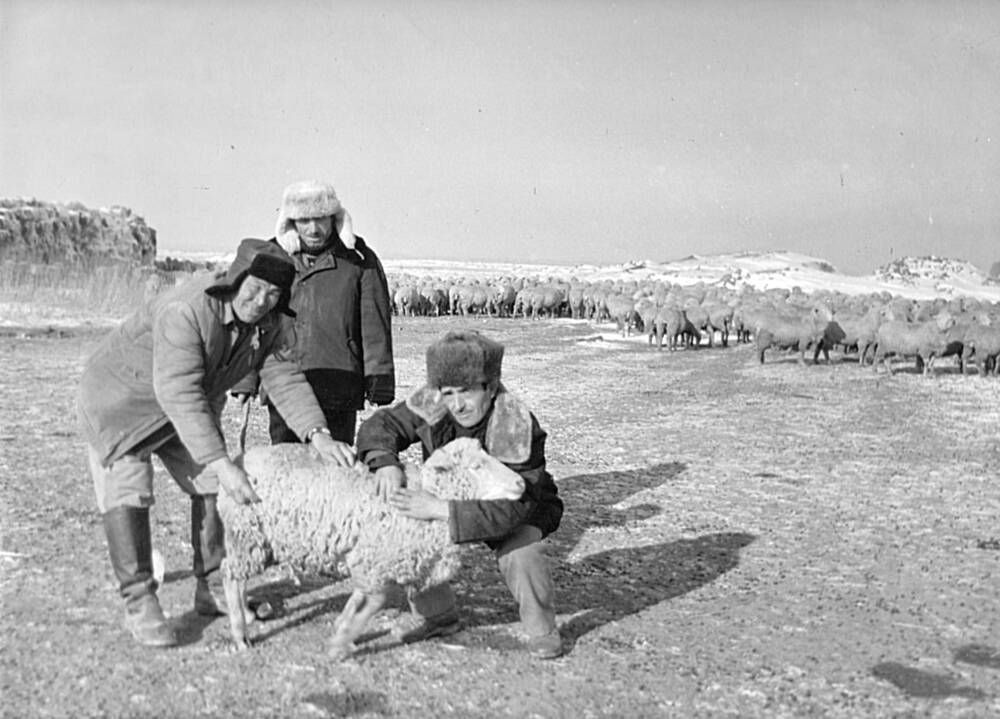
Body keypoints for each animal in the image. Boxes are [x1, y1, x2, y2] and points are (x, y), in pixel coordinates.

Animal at [217, 436, 524, 660]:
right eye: (476, 466)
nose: (521, 483)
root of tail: (240, 459)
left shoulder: (369, 561)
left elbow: (359, 598)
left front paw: (343, 631)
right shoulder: (374, 557)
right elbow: (375, 600)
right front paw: (339, 644)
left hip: (259, 541)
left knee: (236, 576)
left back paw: (246, 614)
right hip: (248, 534)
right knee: (230, 575)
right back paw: (239, 633)